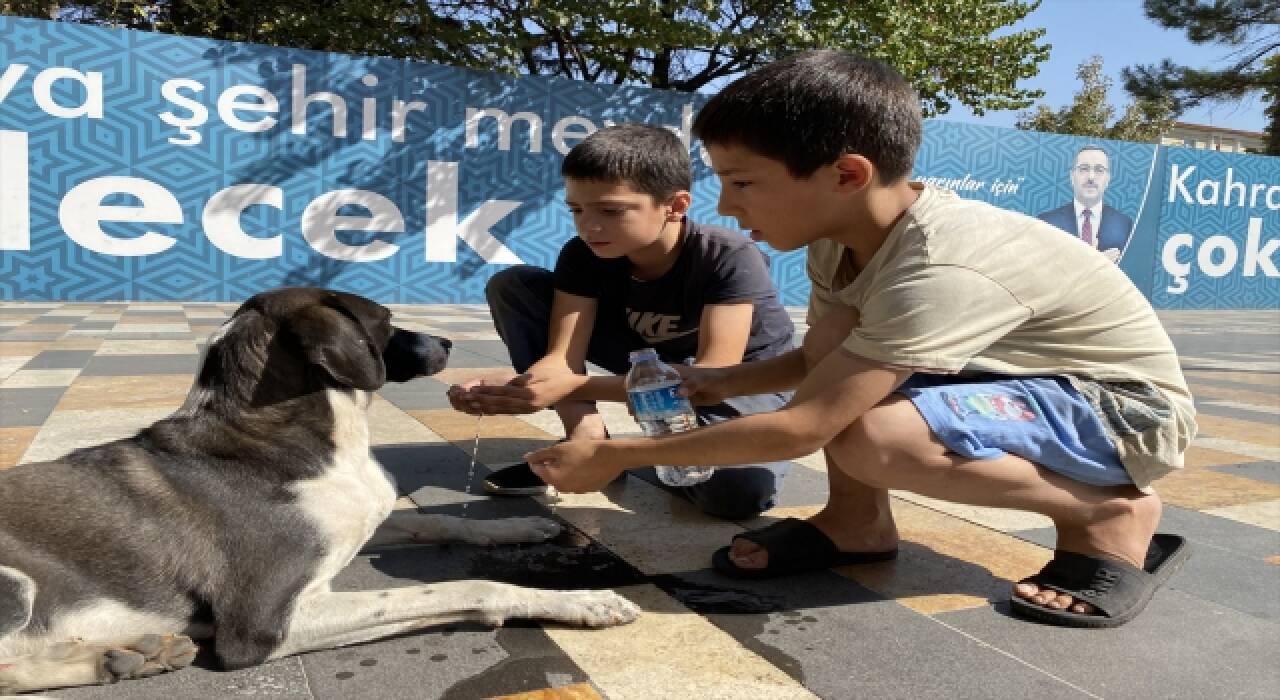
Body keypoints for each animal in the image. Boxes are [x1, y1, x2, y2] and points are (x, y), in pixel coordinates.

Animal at [0, 286, 640, 696]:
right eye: (383, 318)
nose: (448, 342)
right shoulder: (264, 626)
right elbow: (465, 587)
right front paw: (586, 602)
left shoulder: (364, 520)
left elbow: (436, 519)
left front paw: (520, 526)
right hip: (15, 585)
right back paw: (117, 657)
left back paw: (127, 657)